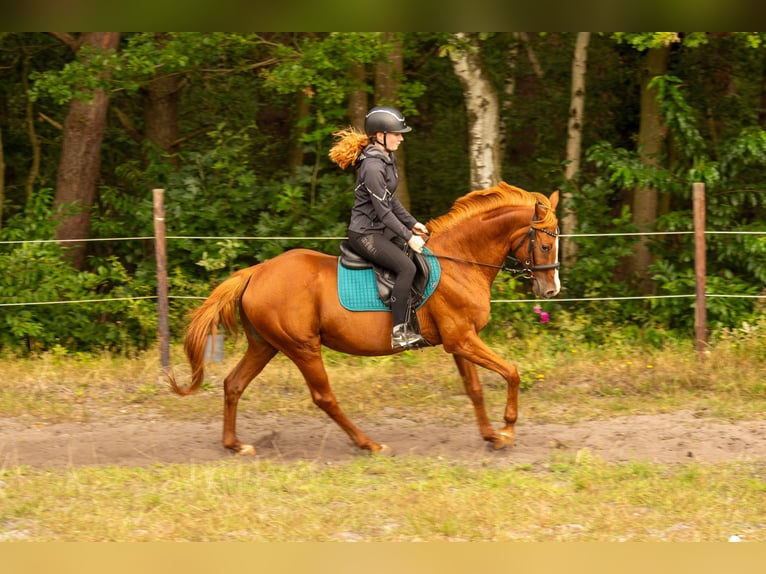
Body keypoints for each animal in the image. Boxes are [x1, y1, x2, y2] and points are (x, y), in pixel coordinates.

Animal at [171, 182, 560, 456]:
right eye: (544, 245)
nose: (552, 289)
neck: (460, 261)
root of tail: (256, 272)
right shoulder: (462, 338)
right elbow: (512, 372)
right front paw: (507, 430)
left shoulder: (458, 342)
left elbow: (475, 389)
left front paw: (491, 436)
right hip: (302, 347)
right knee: (324, 397)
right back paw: (368, 444)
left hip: (265, 345)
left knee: (233, 384)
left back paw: (235, 444)